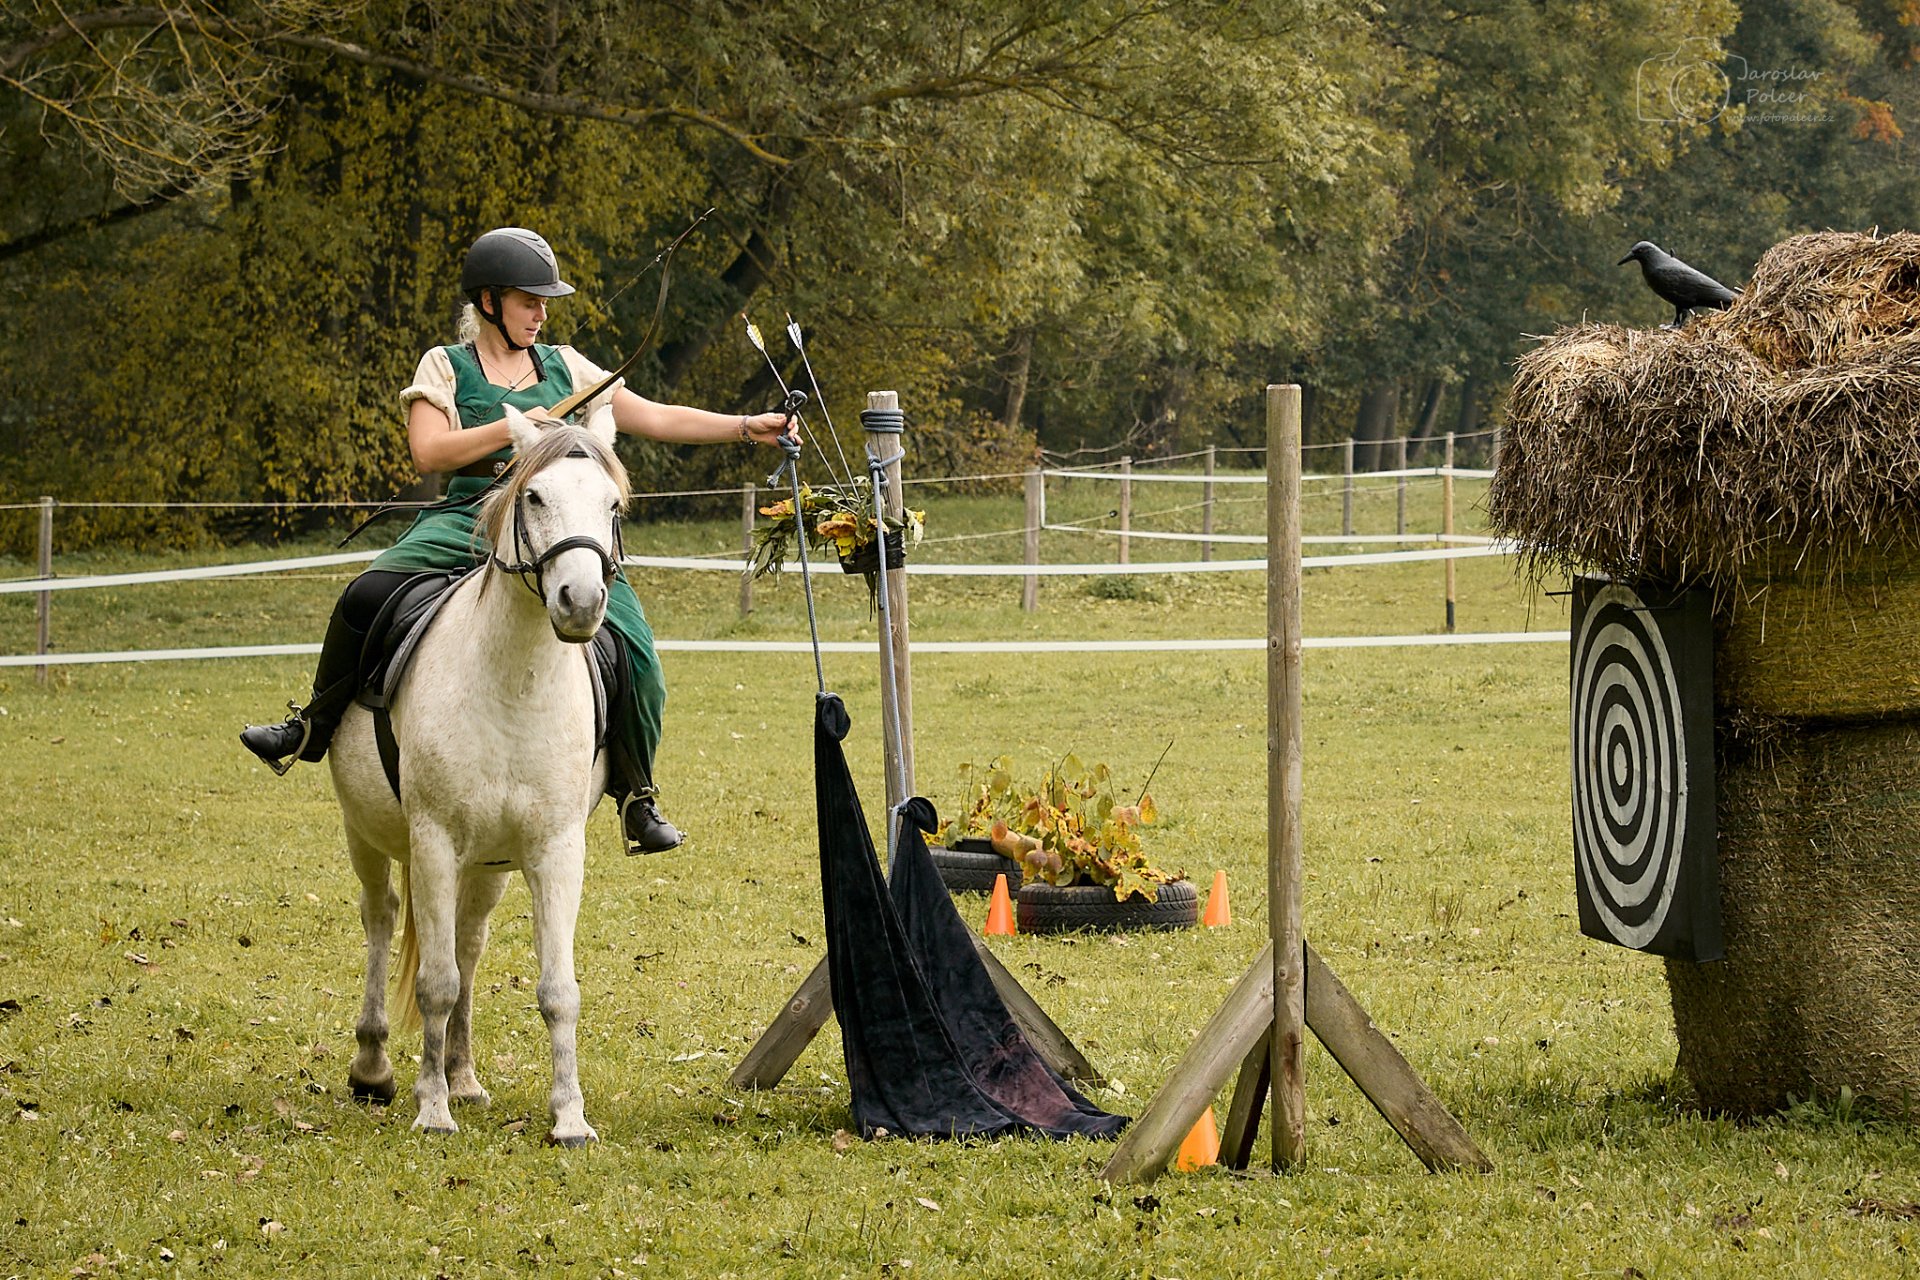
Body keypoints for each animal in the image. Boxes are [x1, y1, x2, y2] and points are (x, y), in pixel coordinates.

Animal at [330, 404, 625, 1143]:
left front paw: (569, 1117)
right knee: (382, 920)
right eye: (535, 496)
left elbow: (557, 990)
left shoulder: (555, 849)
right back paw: (374, 1067)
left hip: (487, 866)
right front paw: (431, 1110)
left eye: (612, 504)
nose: (580, 600)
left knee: (467, 945)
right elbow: (433, 982)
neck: (512, 683)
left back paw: (462, 1076)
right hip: (367, 836)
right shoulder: (432, 840)